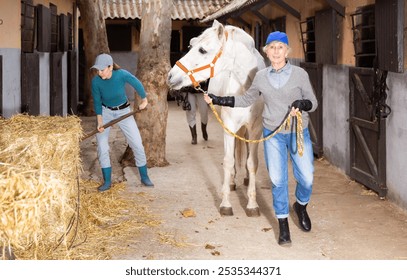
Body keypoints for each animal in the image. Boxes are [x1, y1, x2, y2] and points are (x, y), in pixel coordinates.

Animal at [167, 20, 266, 217]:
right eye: (190, 45)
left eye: (202, 50)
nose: (170, 76)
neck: (246, 88)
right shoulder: (229, 126)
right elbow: (228, 162)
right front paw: (225, 203)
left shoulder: (256, 129)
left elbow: (252, 163)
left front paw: (252, 204)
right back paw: (233, 182)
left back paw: (244, 179)